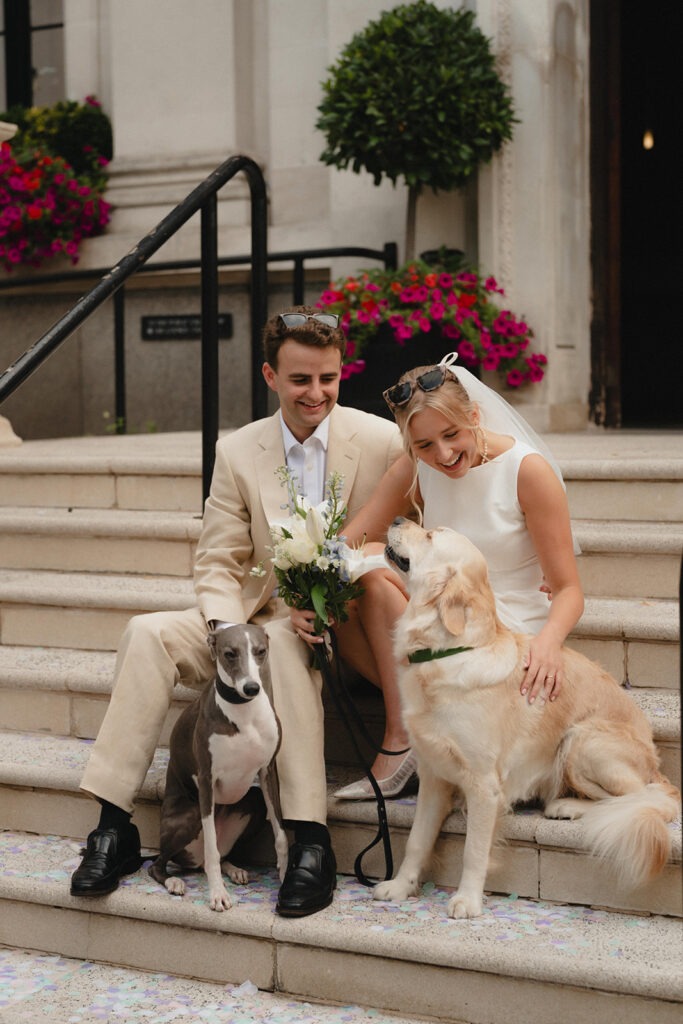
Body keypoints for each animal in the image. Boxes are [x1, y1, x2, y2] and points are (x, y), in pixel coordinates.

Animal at [148, 618, 286, 909]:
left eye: (261, 651)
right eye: (230, 653)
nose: (251, 688)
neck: (244, 712)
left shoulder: (268, 772)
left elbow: (281, 835)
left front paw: (285, 877)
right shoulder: (206, 780)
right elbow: (211, 847)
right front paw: (217, 894)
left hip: (254, 803)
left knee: (221, 854)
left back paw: (234, 869)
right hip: (189, 816)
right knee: (163, 863)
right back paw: (174, 881)